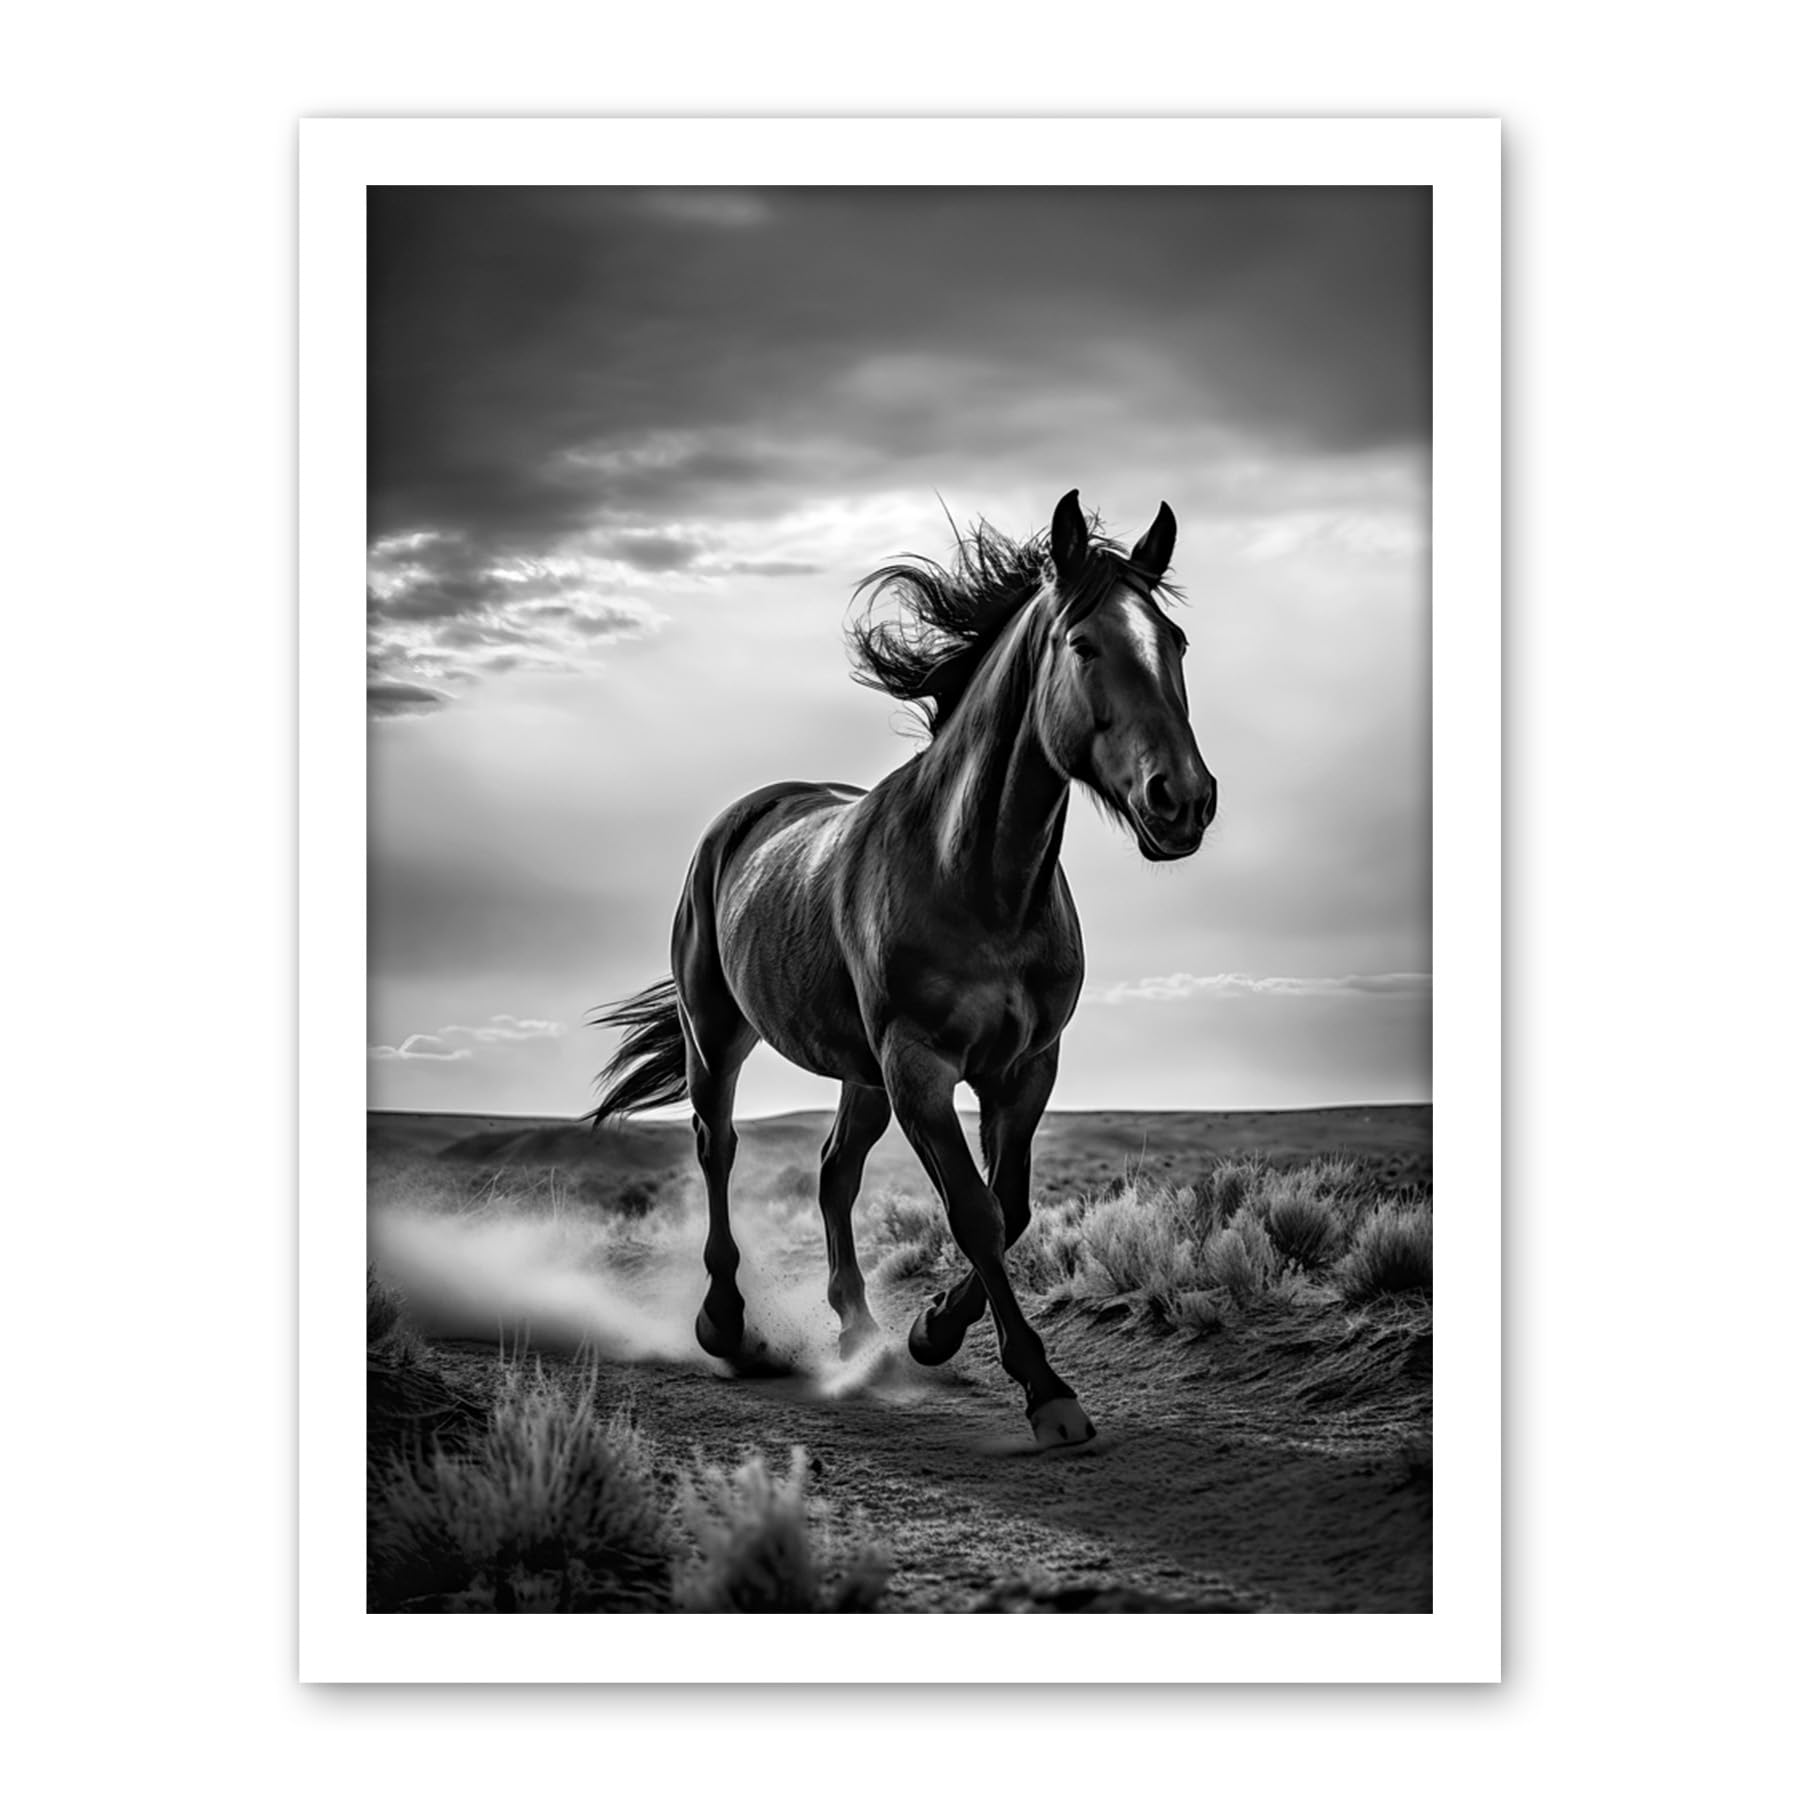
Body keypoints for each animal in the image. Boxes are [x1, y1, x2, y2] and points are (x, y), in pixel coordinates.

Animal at [588, 490, 1216, 1447]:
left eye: (1174, 642)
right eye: (1084, 645)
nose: (1183, 801)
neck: (978, 878)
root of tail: (742, 817)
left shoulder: (1024, 1068)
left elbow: (1012, 1207)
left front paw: (931, 1332)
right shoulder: (919, 1066)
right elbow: (975, 1212)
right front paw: (1044, 1389)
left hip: (859, 1073)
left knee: (833, 1172)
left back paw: (861, 1334)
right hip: (720, 1038)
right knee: (717, 1147)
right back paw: (727, 1325)